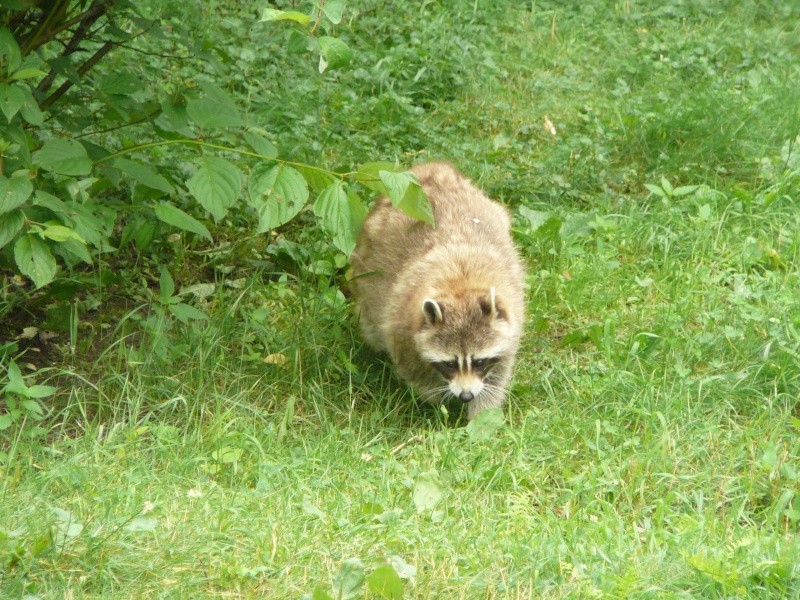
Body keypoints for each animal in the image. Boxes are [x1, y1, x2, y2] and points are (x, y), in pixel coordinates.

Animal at [348, 162, 524, 420]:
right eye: (450, 364)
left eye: (479, 362)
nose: (466, 396)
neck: (461, 286)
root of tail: (428, 168)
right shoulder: (401, 325)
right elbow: (416, 374)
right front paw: (437, 407)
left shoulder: (511, 316)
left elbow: (497, 375)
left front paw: (482, 414)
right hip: (366, 271)